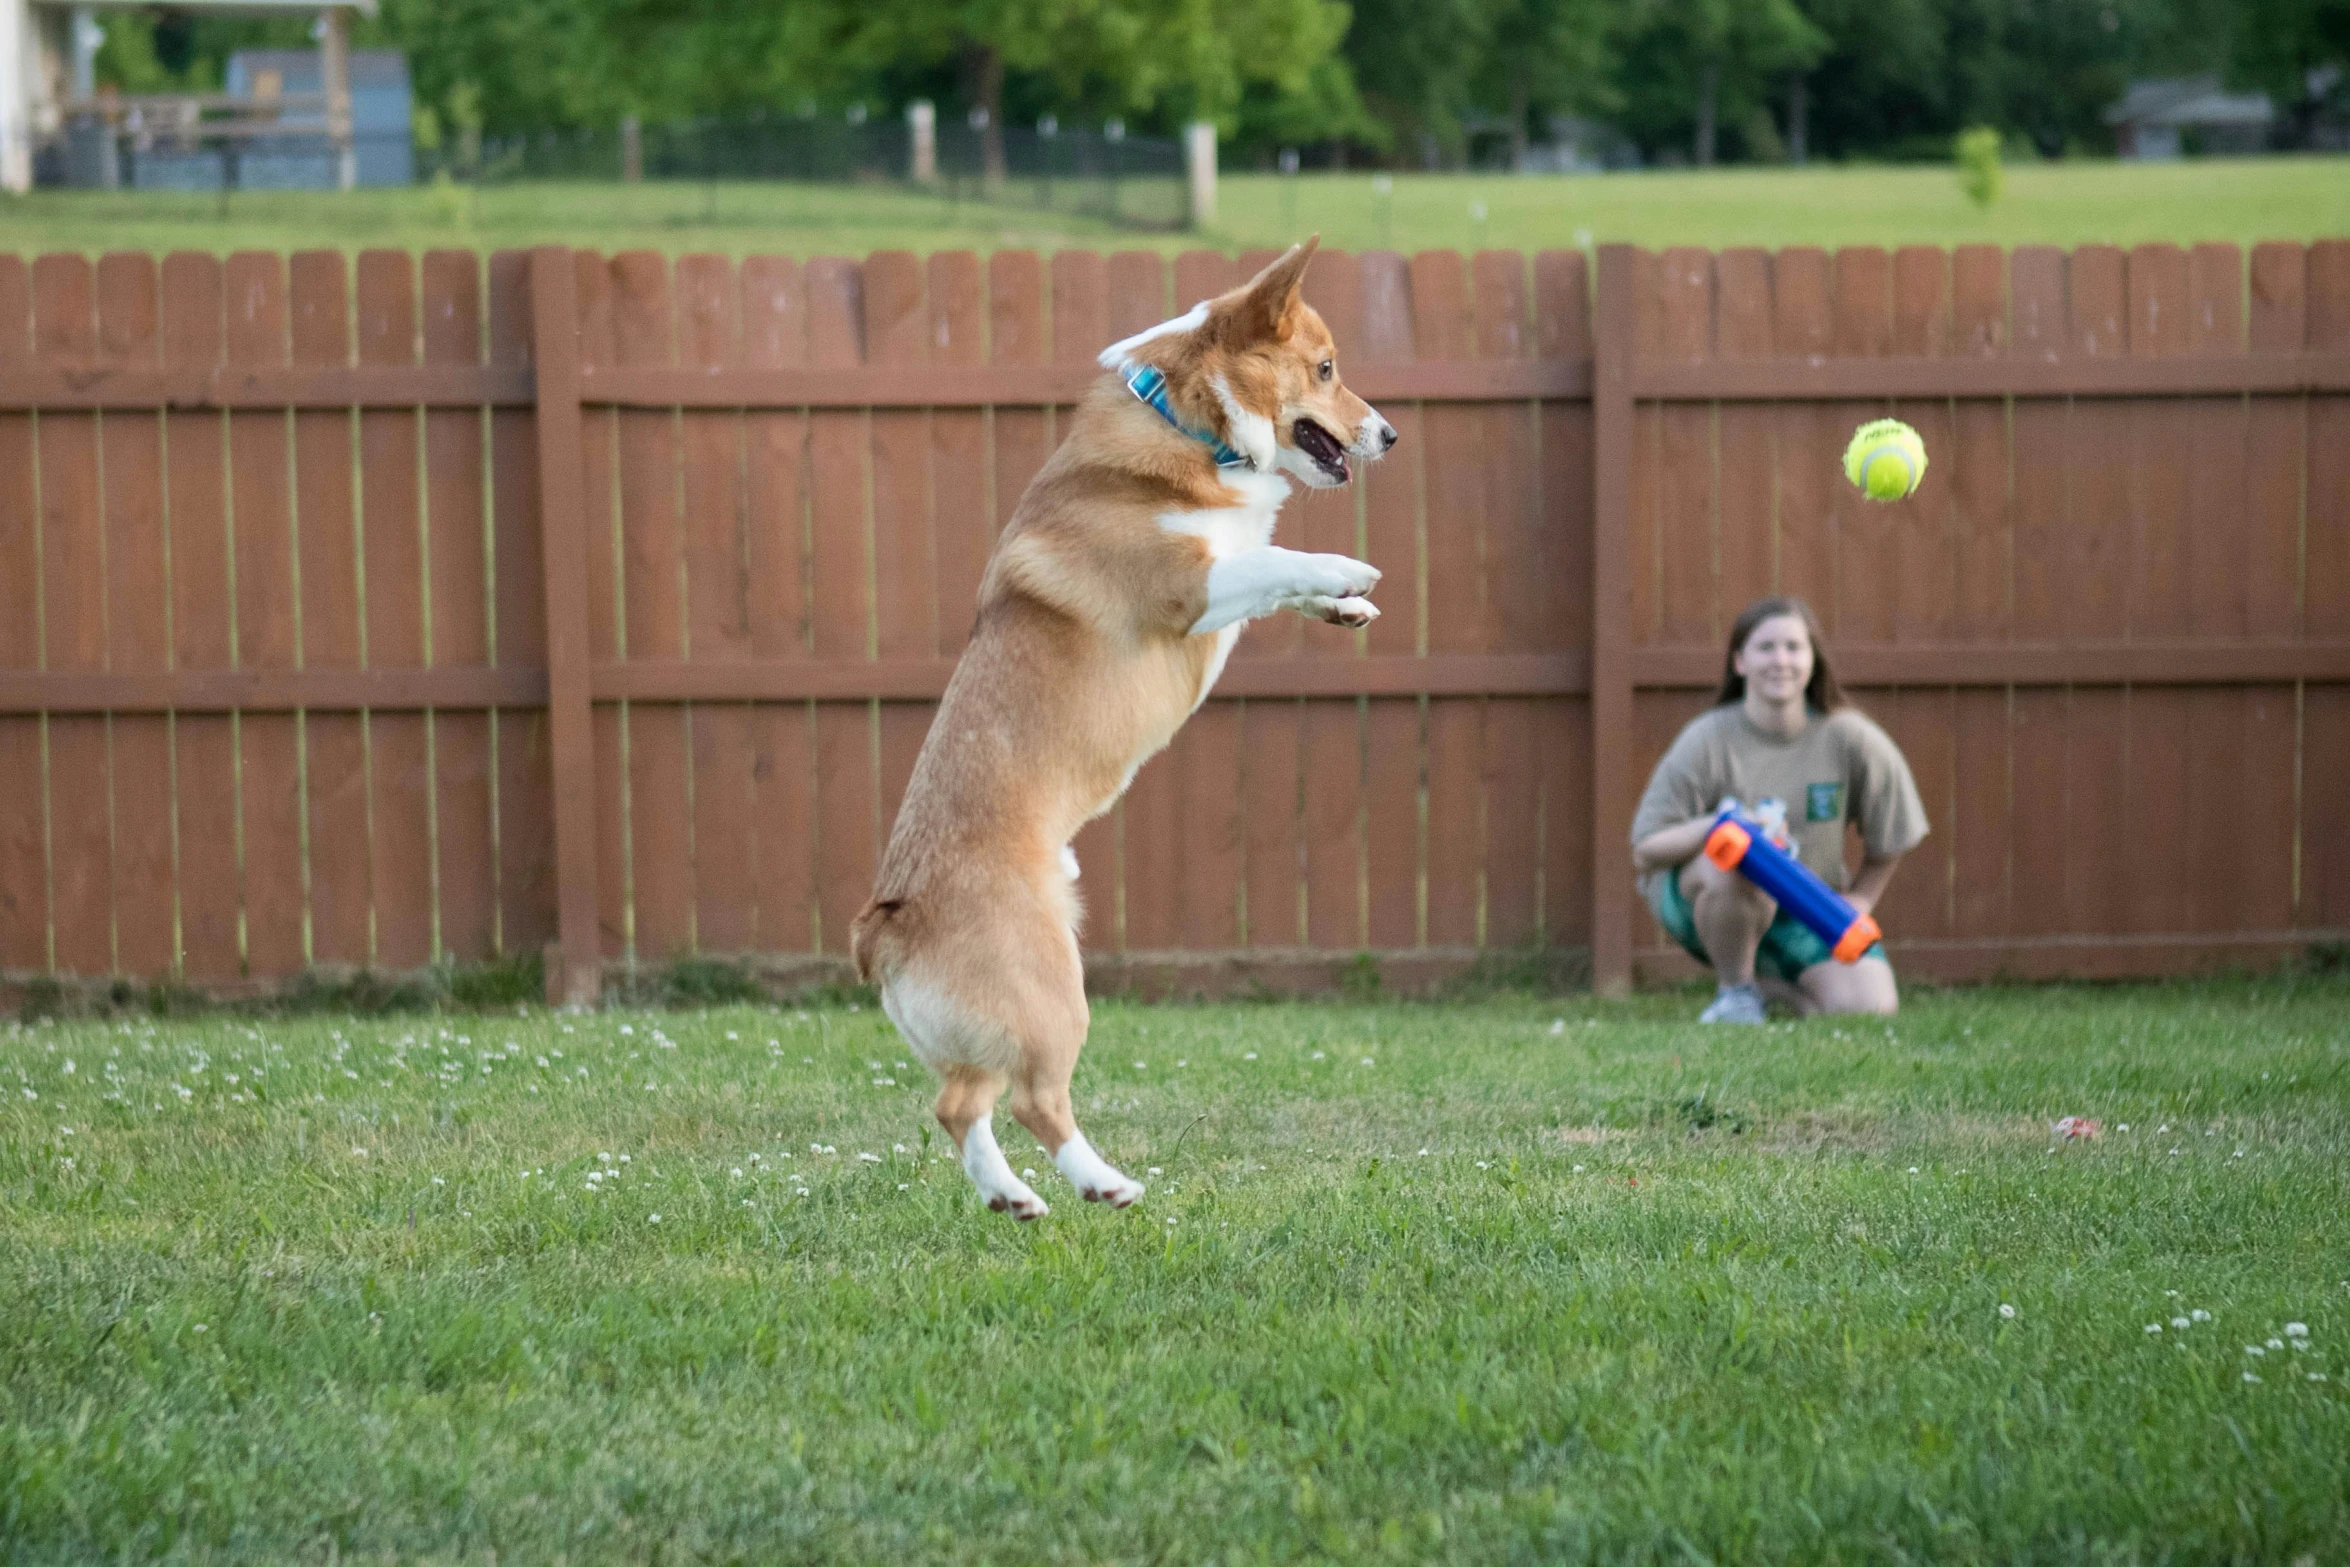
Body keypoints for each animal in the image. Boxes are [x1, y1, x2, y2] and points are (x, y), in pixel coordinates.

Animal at [850, 241, 1381, 1221]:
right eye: (1327, 370)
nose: (1390, 435)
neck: (1188, 421)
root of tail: (884, 923)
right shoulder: (1189, 587)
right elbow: (1275, 559)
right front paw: (1347, 569)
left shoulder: (1225, 576)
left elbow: (1272, 565)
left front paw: (1347, 606)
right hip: (1053, 994)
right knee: (1025, 1097)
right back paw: (1104, 1182)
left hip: (996, 1022)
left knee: (959, 1104)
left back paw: (1013, 1197)